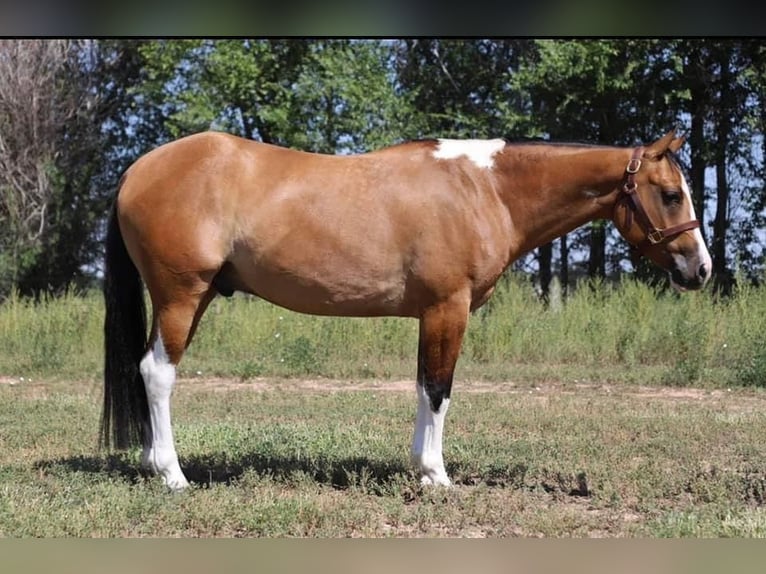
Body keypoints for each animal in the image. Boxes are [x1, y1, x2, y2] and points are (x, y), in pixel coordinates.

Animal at [100, 127, 712, 490]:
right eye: (671, 194)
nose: (701, 269)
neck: (485, 190)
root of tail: (137, 169)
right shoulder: (449, 307)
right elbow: (439, 389)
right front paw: (437, 476)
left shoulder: (431, 314)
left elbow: (423, 386)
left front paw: (421, 466)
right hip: (183, 294)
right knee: (158, 373)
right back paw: (173, 475)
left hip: (189, 296)